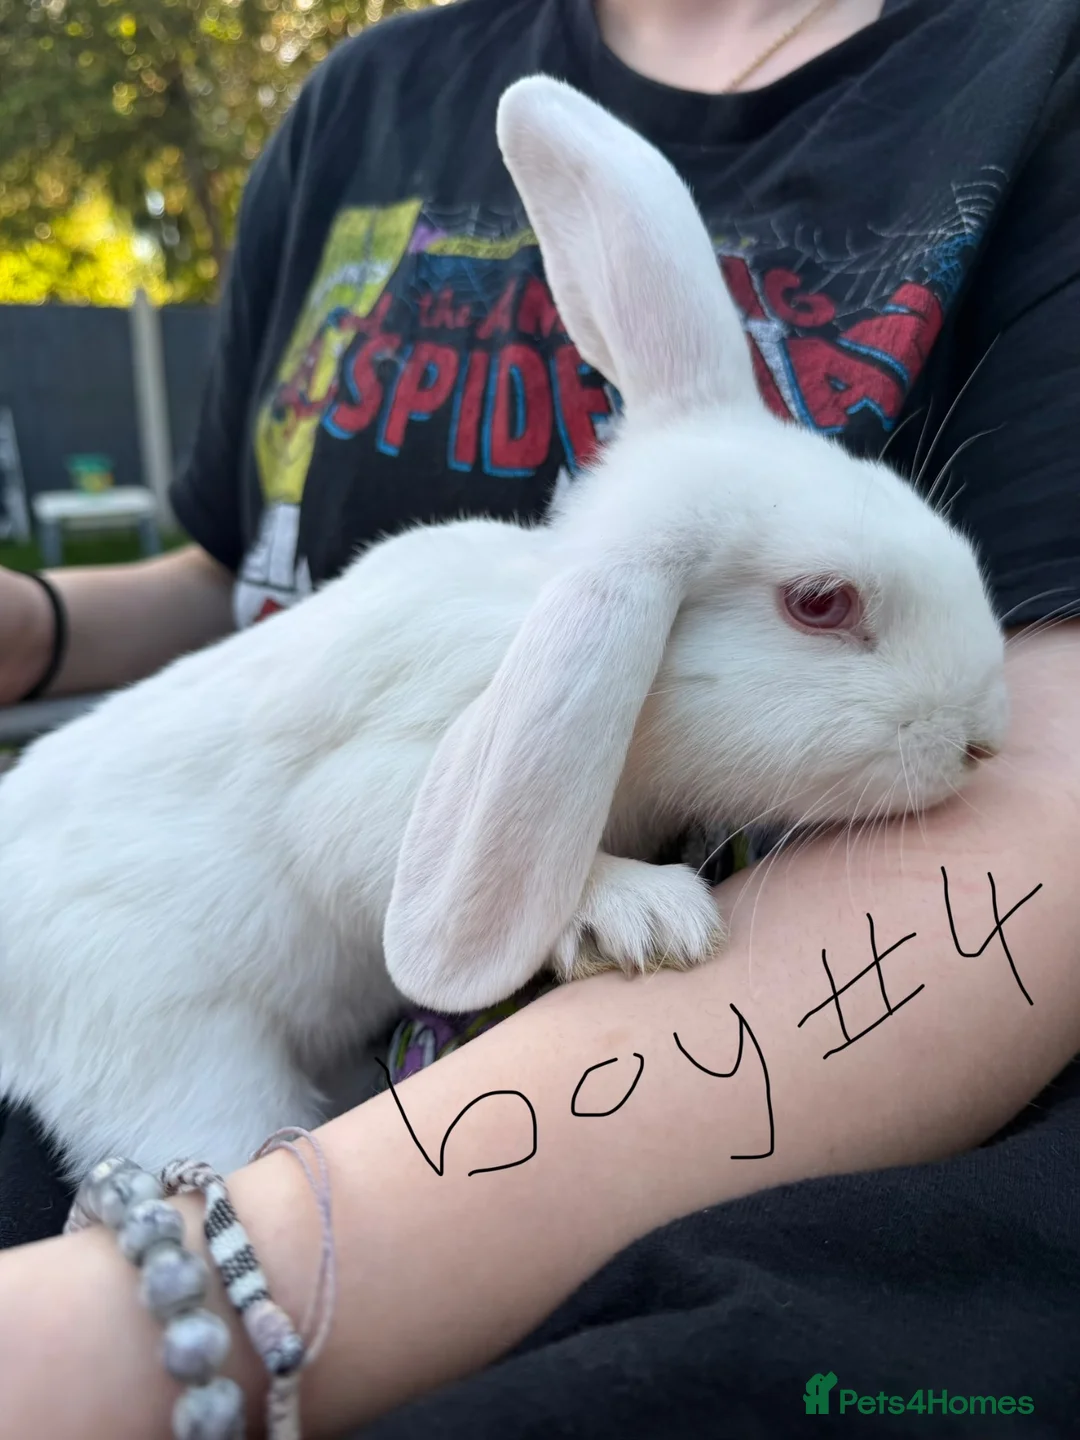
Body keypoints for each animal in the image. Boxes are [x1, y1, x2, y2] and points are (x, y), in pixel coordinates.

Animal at [0, 75, 1008, 1183]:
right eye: (821, 603)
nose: (982, 739)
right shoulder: (384, 773)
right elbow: (358, 840)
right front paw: (640, 911)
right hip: (162, 1046)